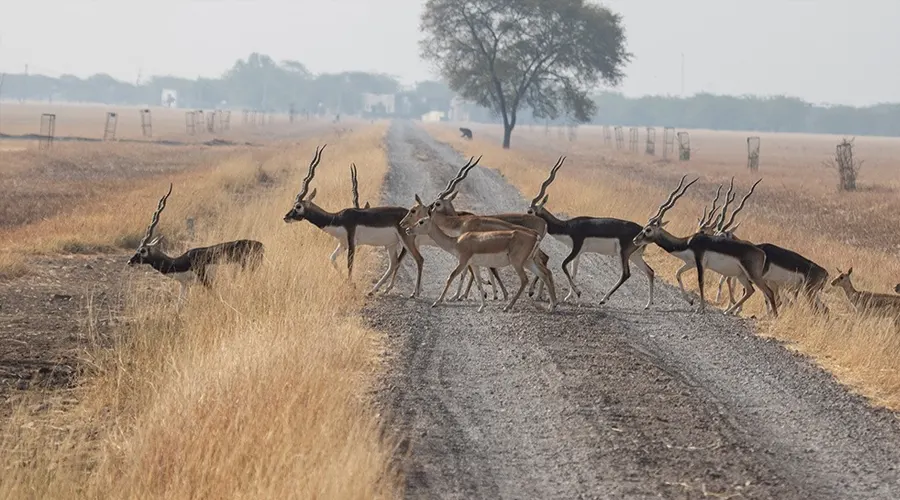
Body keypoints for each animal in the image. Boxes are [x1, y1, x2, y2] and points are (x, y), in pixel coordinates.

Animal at [128, 184, 266, 300]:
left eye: (142, 250)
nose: (130, 261)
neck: (182, 262)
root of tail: (260, 245)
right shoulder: (184, 286)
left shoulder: (206, 282)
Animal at [284, 146, 426, 298]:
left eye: (298, 206)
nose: (286, 217)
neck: (337, 218)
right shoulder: (342, 243)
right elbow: (332, 258)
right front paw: (350, 283)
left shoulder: (352, 243)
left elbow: (349, 264)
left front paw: (351, 285)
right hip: (391, 244)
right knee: (394, 263)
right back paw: (374, 290)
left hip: (406, 240)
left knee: (419, 259)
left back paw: (415, 293)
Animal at [408, 215, 556, 312]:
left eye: (421, 221)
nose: (408, 229)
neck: (457, 242)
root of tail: (535, 236)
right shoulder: (474, 264)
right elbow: (478, 281)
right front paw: (481, 306)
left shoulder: (463, 261)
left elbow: (451, 277)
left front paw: (437, 302)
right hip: (528, 262)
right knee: (545, 274)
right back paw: (552, 305)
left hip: (518, 263)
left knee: (525, 279)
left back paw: (507, 306)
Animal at [524, 156, 656, 306]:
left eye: (530, 211)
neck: (567, 227)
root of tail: (642, 230)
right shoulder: (578, 253)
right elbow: (573, 272)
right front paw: (569, 296)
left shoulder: (576, 247)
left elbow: (563, 265)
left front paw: (578, 292)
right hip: (634, 255)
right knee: (650, 272)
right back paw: (648, 304)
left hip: (623, 254)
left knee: (626, 274)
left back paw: (603, 299)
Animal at [628, 176, 776, 316]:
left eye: (648, 230)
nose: (635, 240)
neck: (687, 242)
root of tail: (762, 253)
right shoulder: (690, 263)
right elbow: (678, 273)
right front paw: (690, 301)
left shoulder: (699, 262)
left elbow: (700, 281)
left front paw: (701, 308)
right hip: (741, 275)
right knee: (750, 290)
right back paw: (729, 311)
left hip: (753, 275)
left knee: (769, 291)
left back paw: (772, 317)